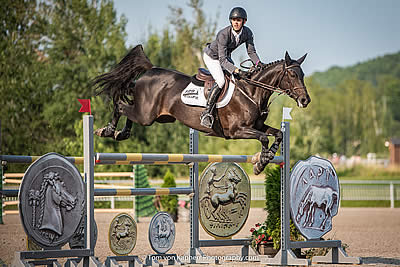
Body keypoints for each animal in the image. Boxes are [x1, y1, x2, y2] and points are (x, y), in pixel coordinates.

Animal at [92, 45, 310, 175]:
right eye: (292, 74)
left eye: (303, 74)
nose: (305, 100)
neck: (251, 91)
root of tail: (151, 70)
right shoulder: (237, 131)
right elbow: (264, 138)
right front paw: (261, 163)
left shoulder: (257, 125)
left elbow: (278, 134)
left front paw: (268, 156)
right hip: (146, 115)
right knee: (121, 105)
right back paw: (107, 130)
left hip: (156, 116)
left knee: (128, 104)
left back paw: (122, 133)